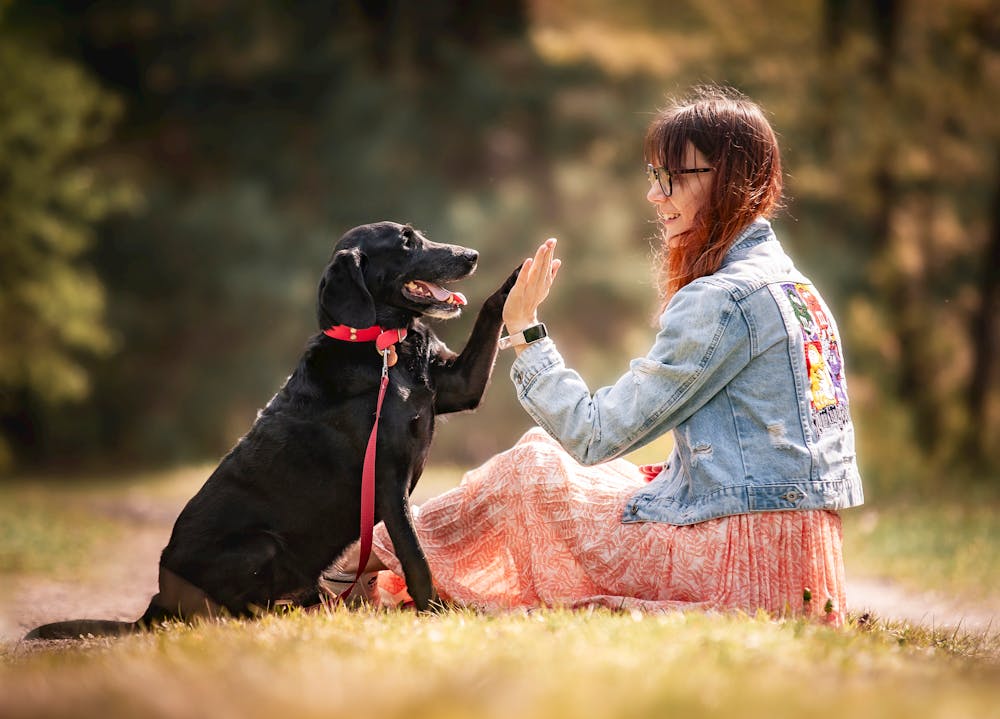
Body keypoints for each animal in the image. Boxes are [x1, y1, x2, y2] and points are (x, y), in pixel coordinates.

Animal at [27, 222, 520, 640]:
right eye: (405, 242)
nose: (472, 255)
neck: (383, 348)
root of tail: (156, 604)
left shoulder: (458, 386)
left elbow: (491, 313)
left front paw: (520, 277)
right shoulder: (387, 484)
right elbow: (416, 557)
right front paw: (437, 612)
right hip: (260, 546)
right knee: (234, 611)